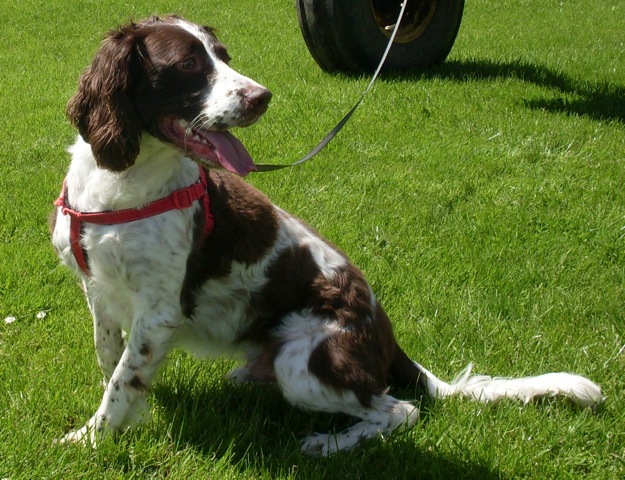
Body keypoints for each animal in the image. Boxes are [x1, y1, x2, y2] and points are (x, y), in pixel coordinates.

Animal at [52, 15, 604, 456]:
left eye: (224, 56)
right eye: (189, 63)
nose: (262, 97)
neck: (122, 185)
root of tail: (387, 339)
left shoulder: (160, 309)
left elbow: (121, 379)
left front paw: (90, 440)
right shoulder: (99, 289)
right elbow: (113, 358)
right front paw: (134, 416)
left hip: (306, 363)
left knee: (399, 409)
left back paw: (329, 443)